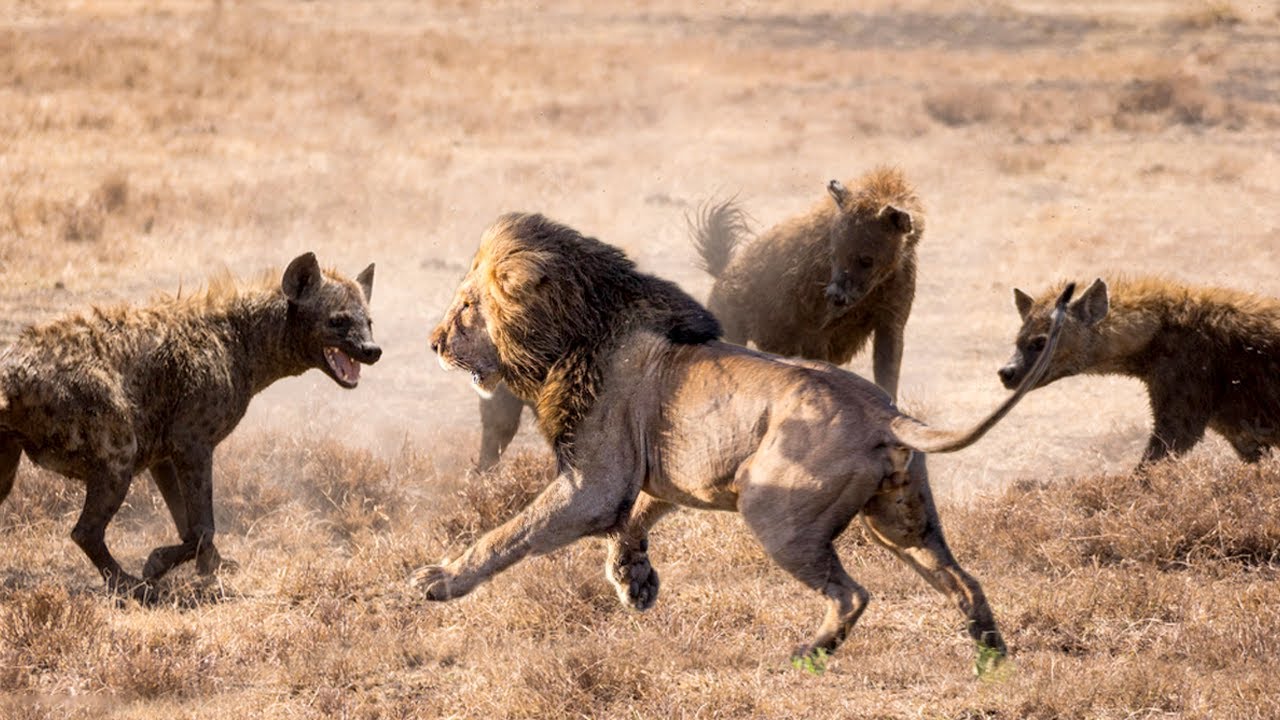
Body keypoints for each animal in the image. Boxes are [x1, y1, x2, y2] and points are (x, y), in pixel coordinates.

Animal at [412, 211, 1070, 666]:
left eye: (467, 307)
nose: (433, 342)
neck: (573, 330)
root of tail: (884, 412)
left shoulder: (593, 484)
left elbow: (510, 533)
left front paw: (440, 579)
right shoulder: (666, 472)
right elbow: (637, 518)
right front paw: (634, 581)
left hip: (774, 511)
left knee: (852, 594)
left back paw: (810, 654)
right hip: (901, 522)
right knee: (964, 581)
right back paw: (990, 653)